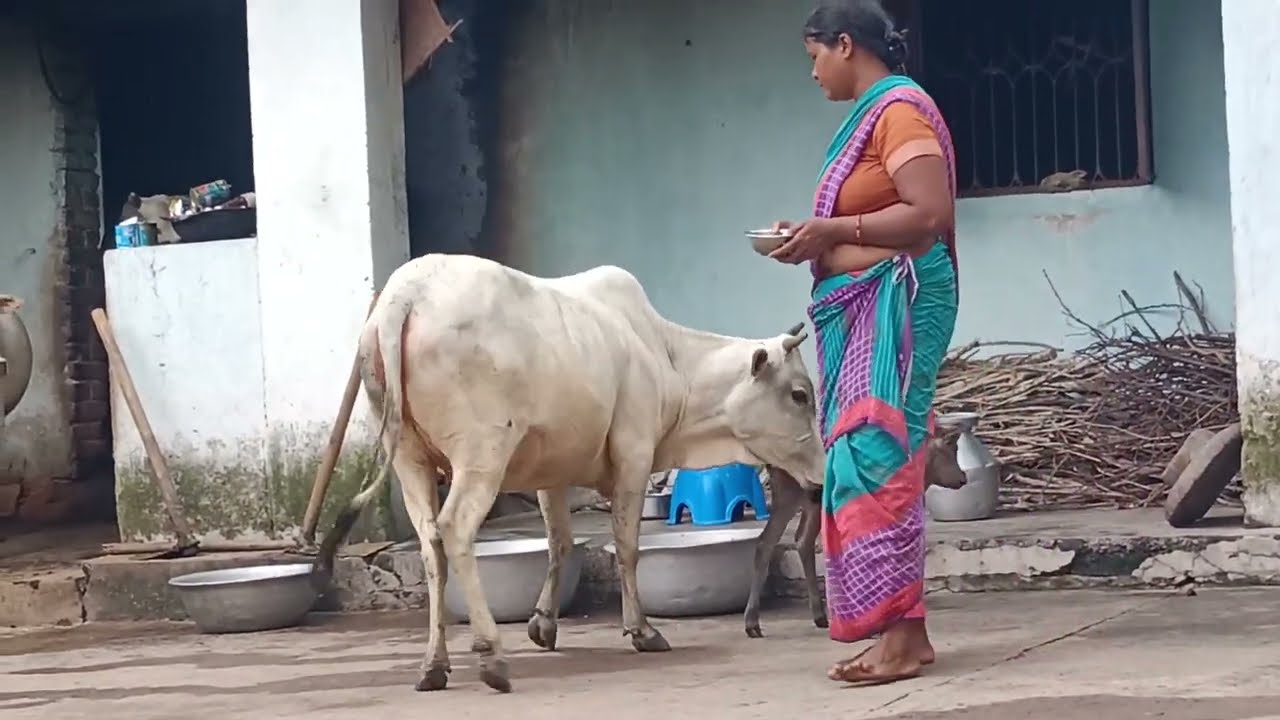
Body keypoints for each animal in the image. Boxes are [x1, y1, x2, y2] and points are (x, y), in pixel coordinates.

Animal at [316, 254, 827, 694]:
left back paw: (433, 665)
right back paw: (491, 657)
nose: (820, 480)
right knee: (455, 530)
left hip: (408, 458)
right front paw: (641, 630)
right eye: (800, 395)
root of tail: (405, 294)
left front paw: (543, 624)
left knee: (430, 545)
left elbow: (560, 543)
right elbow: (627, 547)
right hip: (482, 452)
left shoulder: (551, 472)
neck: (668, 359)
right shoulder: (634, 454)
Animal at [742, 431, 968, 639]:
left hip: (807, 496)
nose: (963, 477)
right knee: (781, 540)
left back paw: (811, 617)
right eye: (951, 449)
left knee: (793, 540)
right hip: (795, 491)